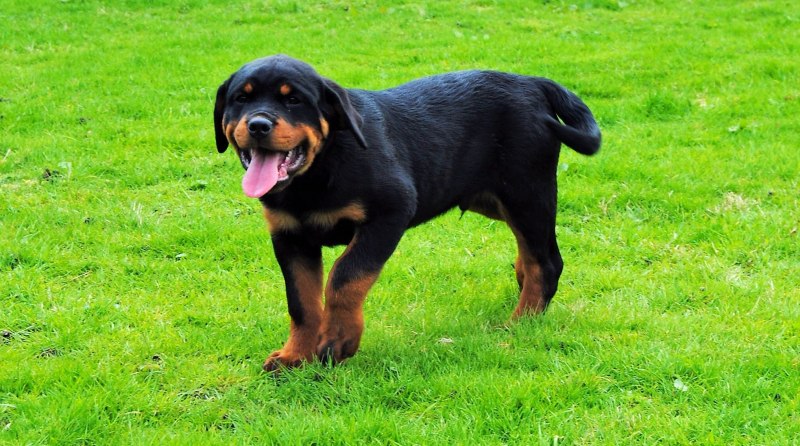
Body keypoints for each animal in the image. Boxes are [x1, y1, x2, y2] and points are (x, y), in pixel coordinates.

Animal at [213, 55, 601, 371]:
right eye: (241, 99)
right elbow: (301, 300)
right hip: (491, 197)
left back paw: (520, 322)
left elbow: (345, 276)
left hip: (525, 191)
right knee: (535, 250)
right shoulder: (289, 236)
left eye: (294, 100)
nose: (258, 125)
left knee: (546, 261)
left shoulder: (391, 211)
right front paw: (295, 355)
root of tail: (532, 82)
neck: (318, 170)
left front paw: (339, 339)